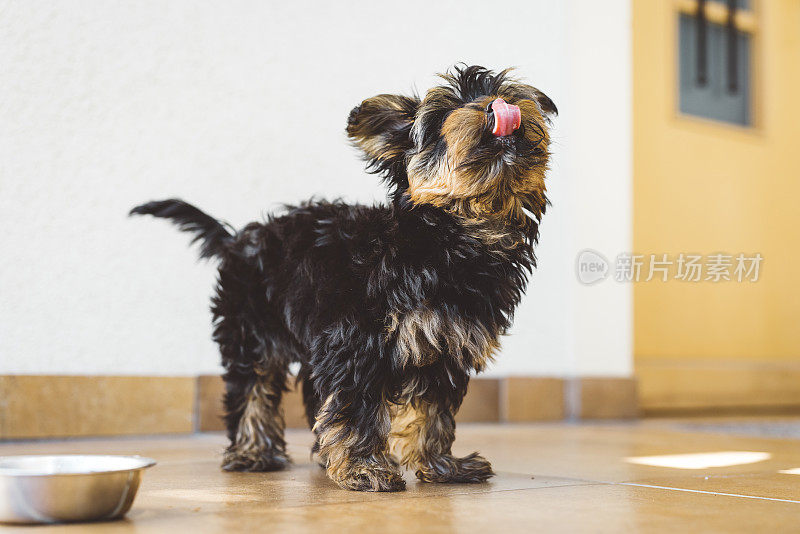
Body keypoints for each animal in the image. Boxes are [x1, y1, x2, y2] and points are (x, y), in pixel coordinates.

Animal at [131, 65, 556, 492]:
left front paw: (441, 465)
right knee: (252, 385)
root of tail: (238, 239)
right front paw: (364, 468)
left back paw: (321, 454)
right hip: (251, 326)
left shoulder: (446, 344)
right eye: (441, 118)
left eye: (501, 91)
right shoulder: (359, 341)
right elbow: (358, 404)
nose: (495, 106)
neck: (452, 239)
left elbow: (432, 410)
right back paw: (254, 452)